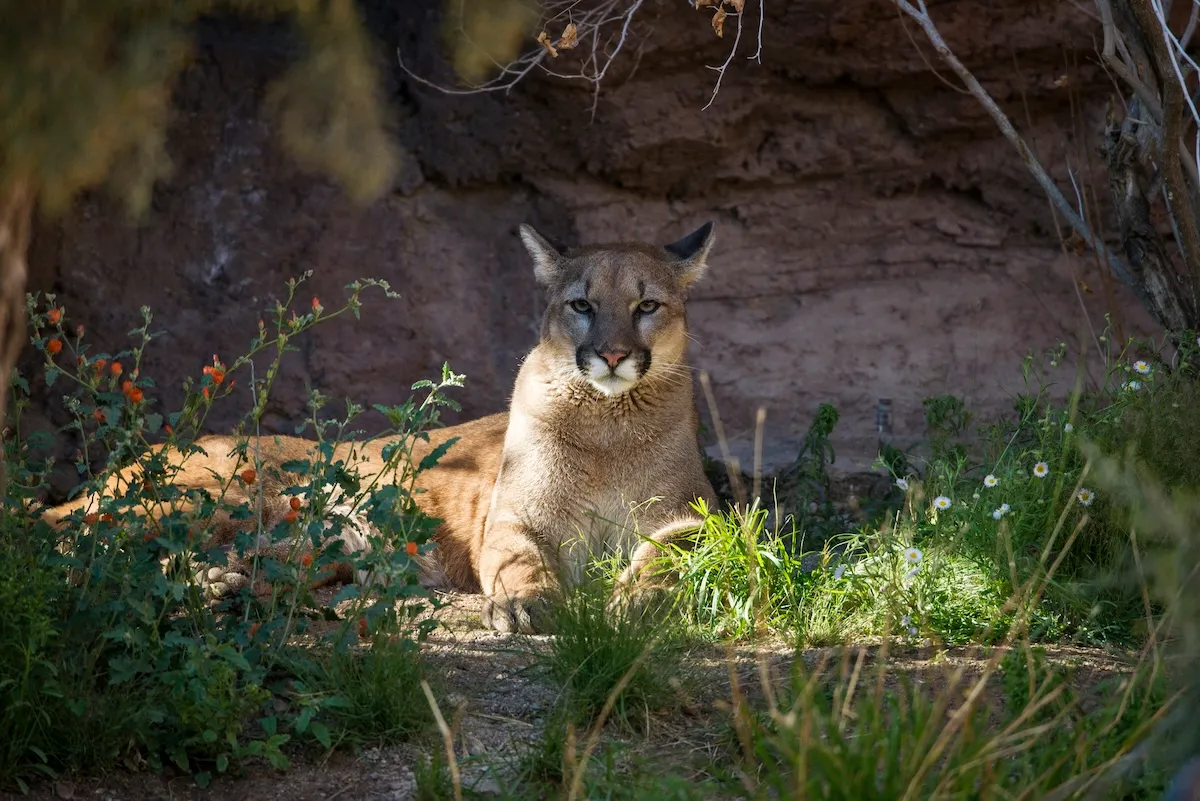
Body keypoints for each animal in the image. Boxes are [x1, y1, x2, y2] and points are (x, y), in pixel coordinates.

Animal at [41, 222, 720, 634]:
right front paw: (527, 604)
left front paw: (638, 600)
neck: (608, 424)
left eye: (646, 306)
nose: (612, 354)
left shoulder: (696, 513)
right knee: (71, 540)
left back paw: (219, 587)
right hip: (212, 498)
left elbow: (673, 554)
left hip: (320, 542)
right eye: (581, 305)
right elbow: (521, 561)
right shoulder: (512, 517)